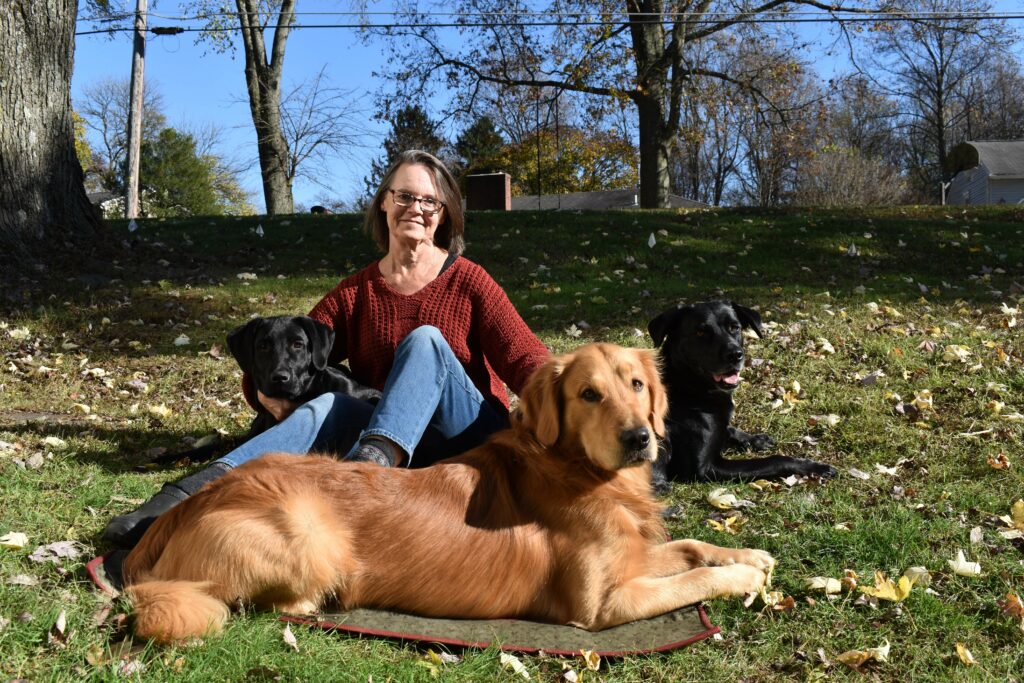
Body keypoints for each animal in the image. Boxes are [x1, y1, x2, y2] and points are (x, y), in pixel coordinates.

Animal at [647, 301, 839, 485]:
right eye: (701, 332)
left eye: (734, 327)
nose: (735, 355)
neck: (687, 385)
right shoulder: (704, 468)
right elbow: (773, 460)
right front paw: (812, 466)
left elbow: (729, 428)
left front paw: (755, 439)